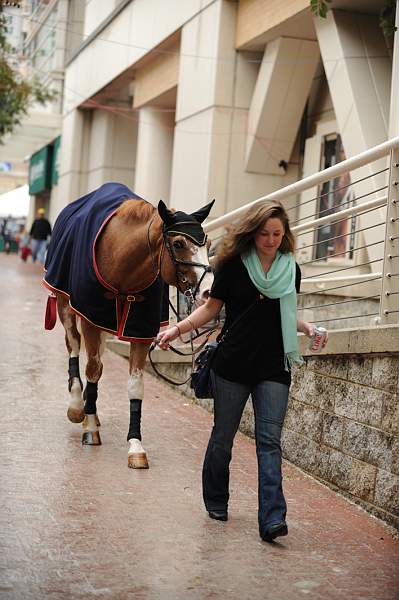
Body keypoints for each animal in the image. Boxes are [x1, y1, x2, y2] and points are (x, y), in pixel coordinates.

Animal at [42, 183, 214, 468]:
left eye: (207, 243)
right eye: (178, 243)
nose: (209, 290)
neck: (122, 262)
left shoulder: (140, 331)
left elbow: (135, 385)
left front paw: (135, 444)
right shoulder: (90, 317)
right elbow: (92, 370)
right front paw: (90, 427)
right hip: (66, 304)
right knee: (74, 346)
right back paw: (78, 405)